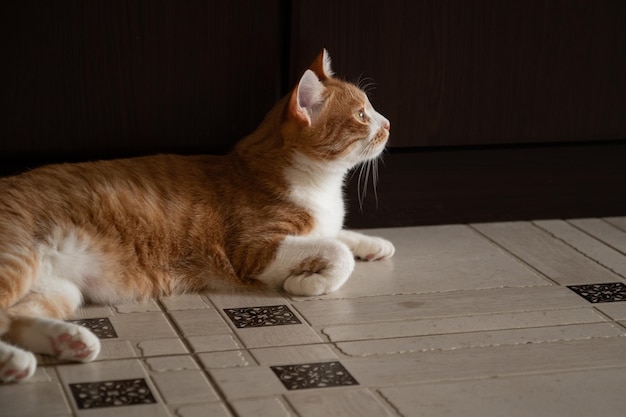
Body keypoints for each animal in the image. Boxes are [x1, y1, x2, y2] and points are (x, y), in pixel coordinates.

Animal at [0, 48, 392, 380]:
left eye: (371, 108)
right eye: (361, 115)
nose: (388, 123)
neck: (321, 186)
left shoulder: (319, 226)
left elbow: (339, 234)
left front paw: (374, 244)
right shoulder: (255, 250)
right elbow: (337, 252)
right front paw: (309, 281)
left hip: (59, 290)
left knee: (12, 317)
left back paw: (66, 341)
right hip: (18, 257)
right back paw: (16, 360)